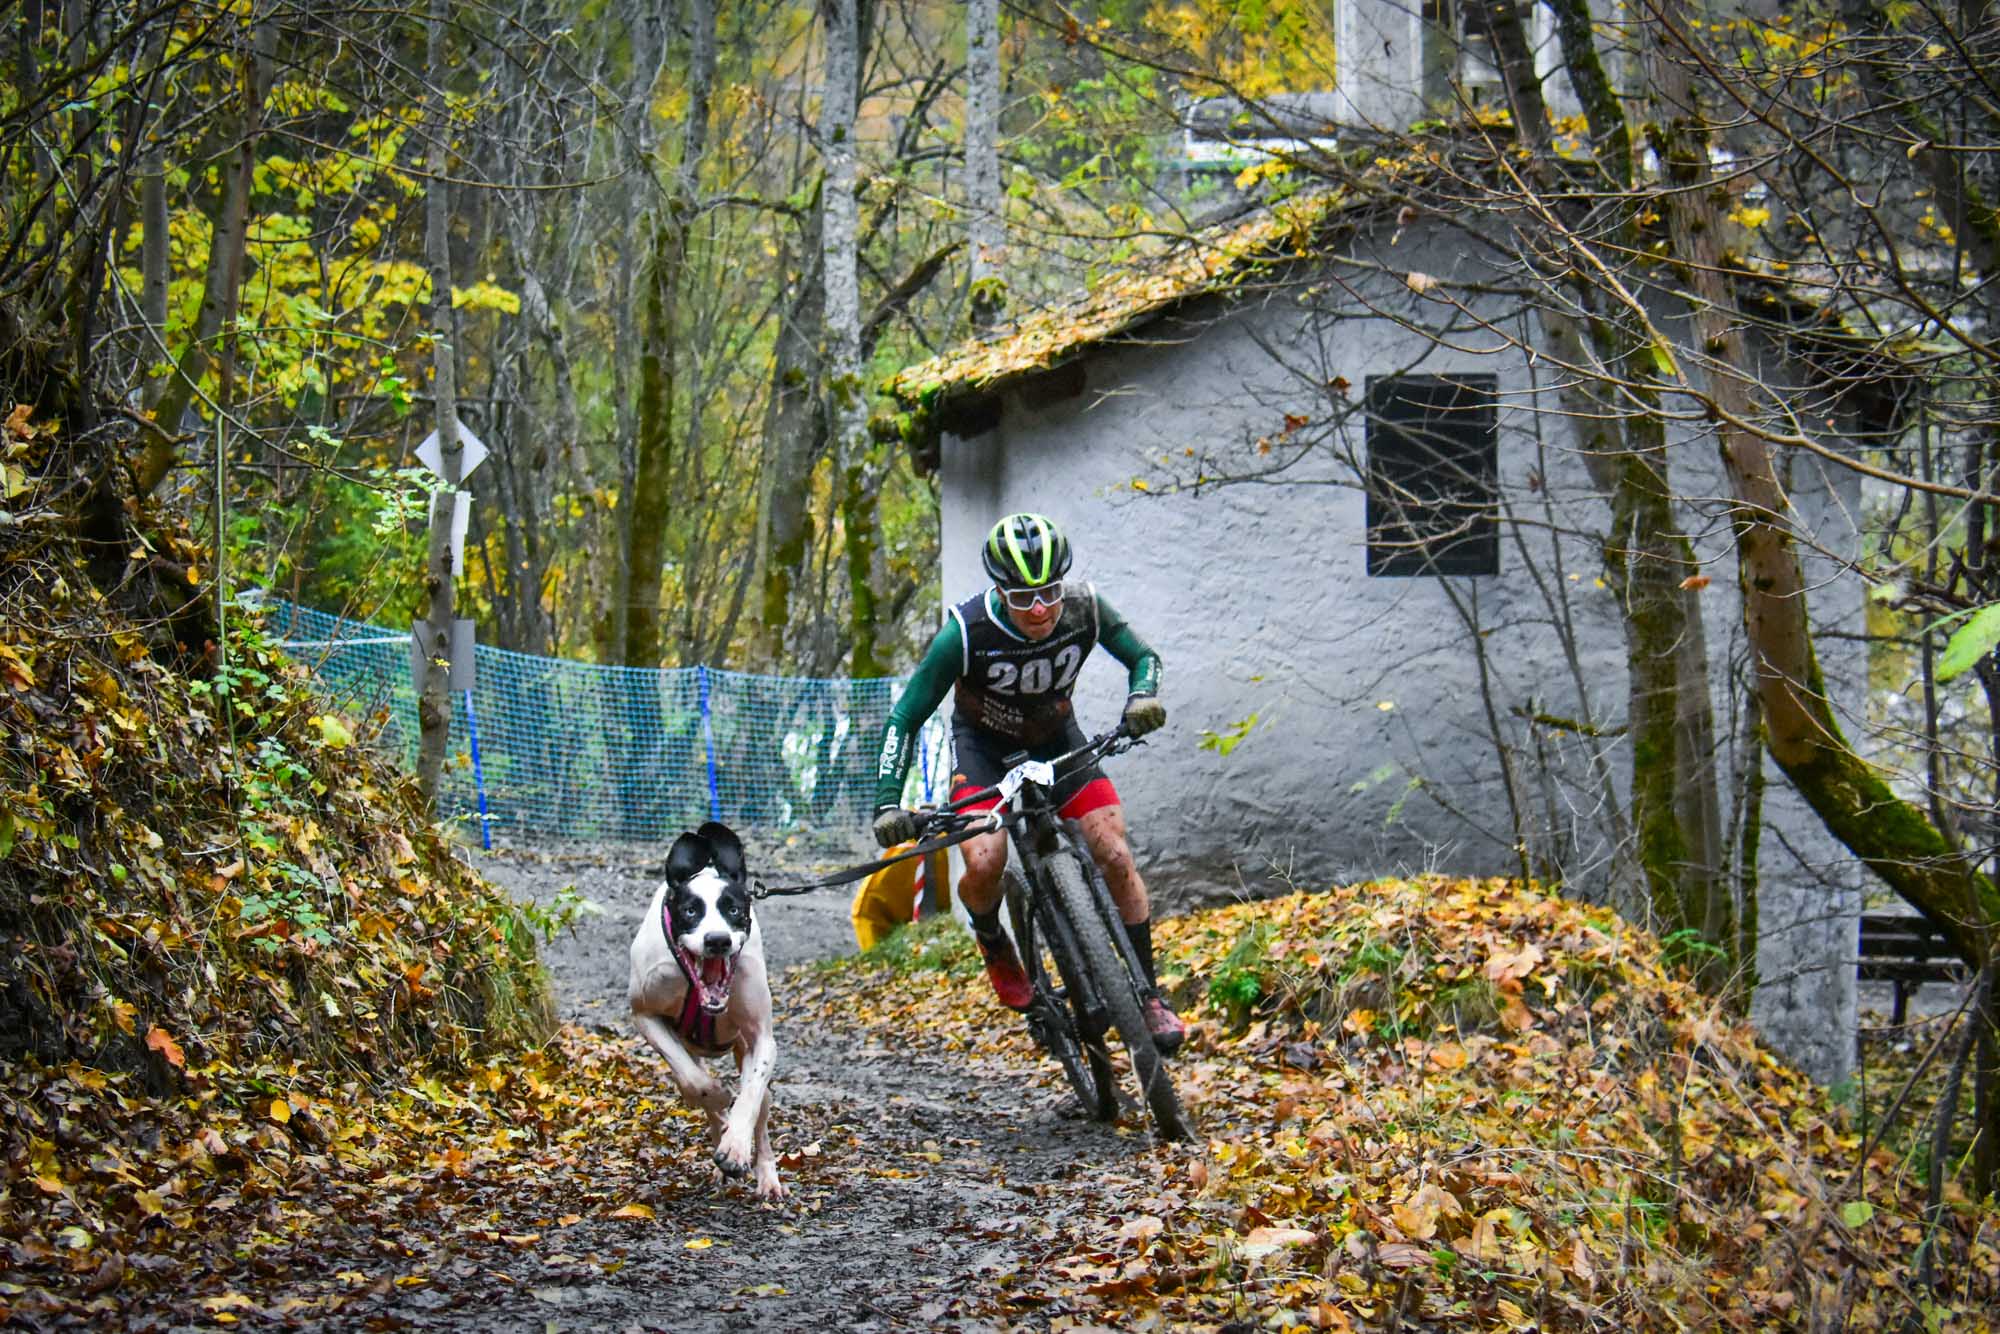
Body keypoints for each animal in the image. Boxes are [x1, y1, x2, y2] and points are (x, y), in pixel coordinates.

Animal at [628, 820, 784, 1208]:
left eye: (733, 909)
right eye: (690, 911)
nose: (717, 940)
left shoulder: (762, 1039)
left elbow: (749, 1096)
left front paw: (735, 1147)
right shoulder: (644, 1015)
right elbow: (696, 1085)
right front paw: (717, 1099)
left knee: (761, 1108)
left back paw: (765, 1176)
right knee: (694, 1086)